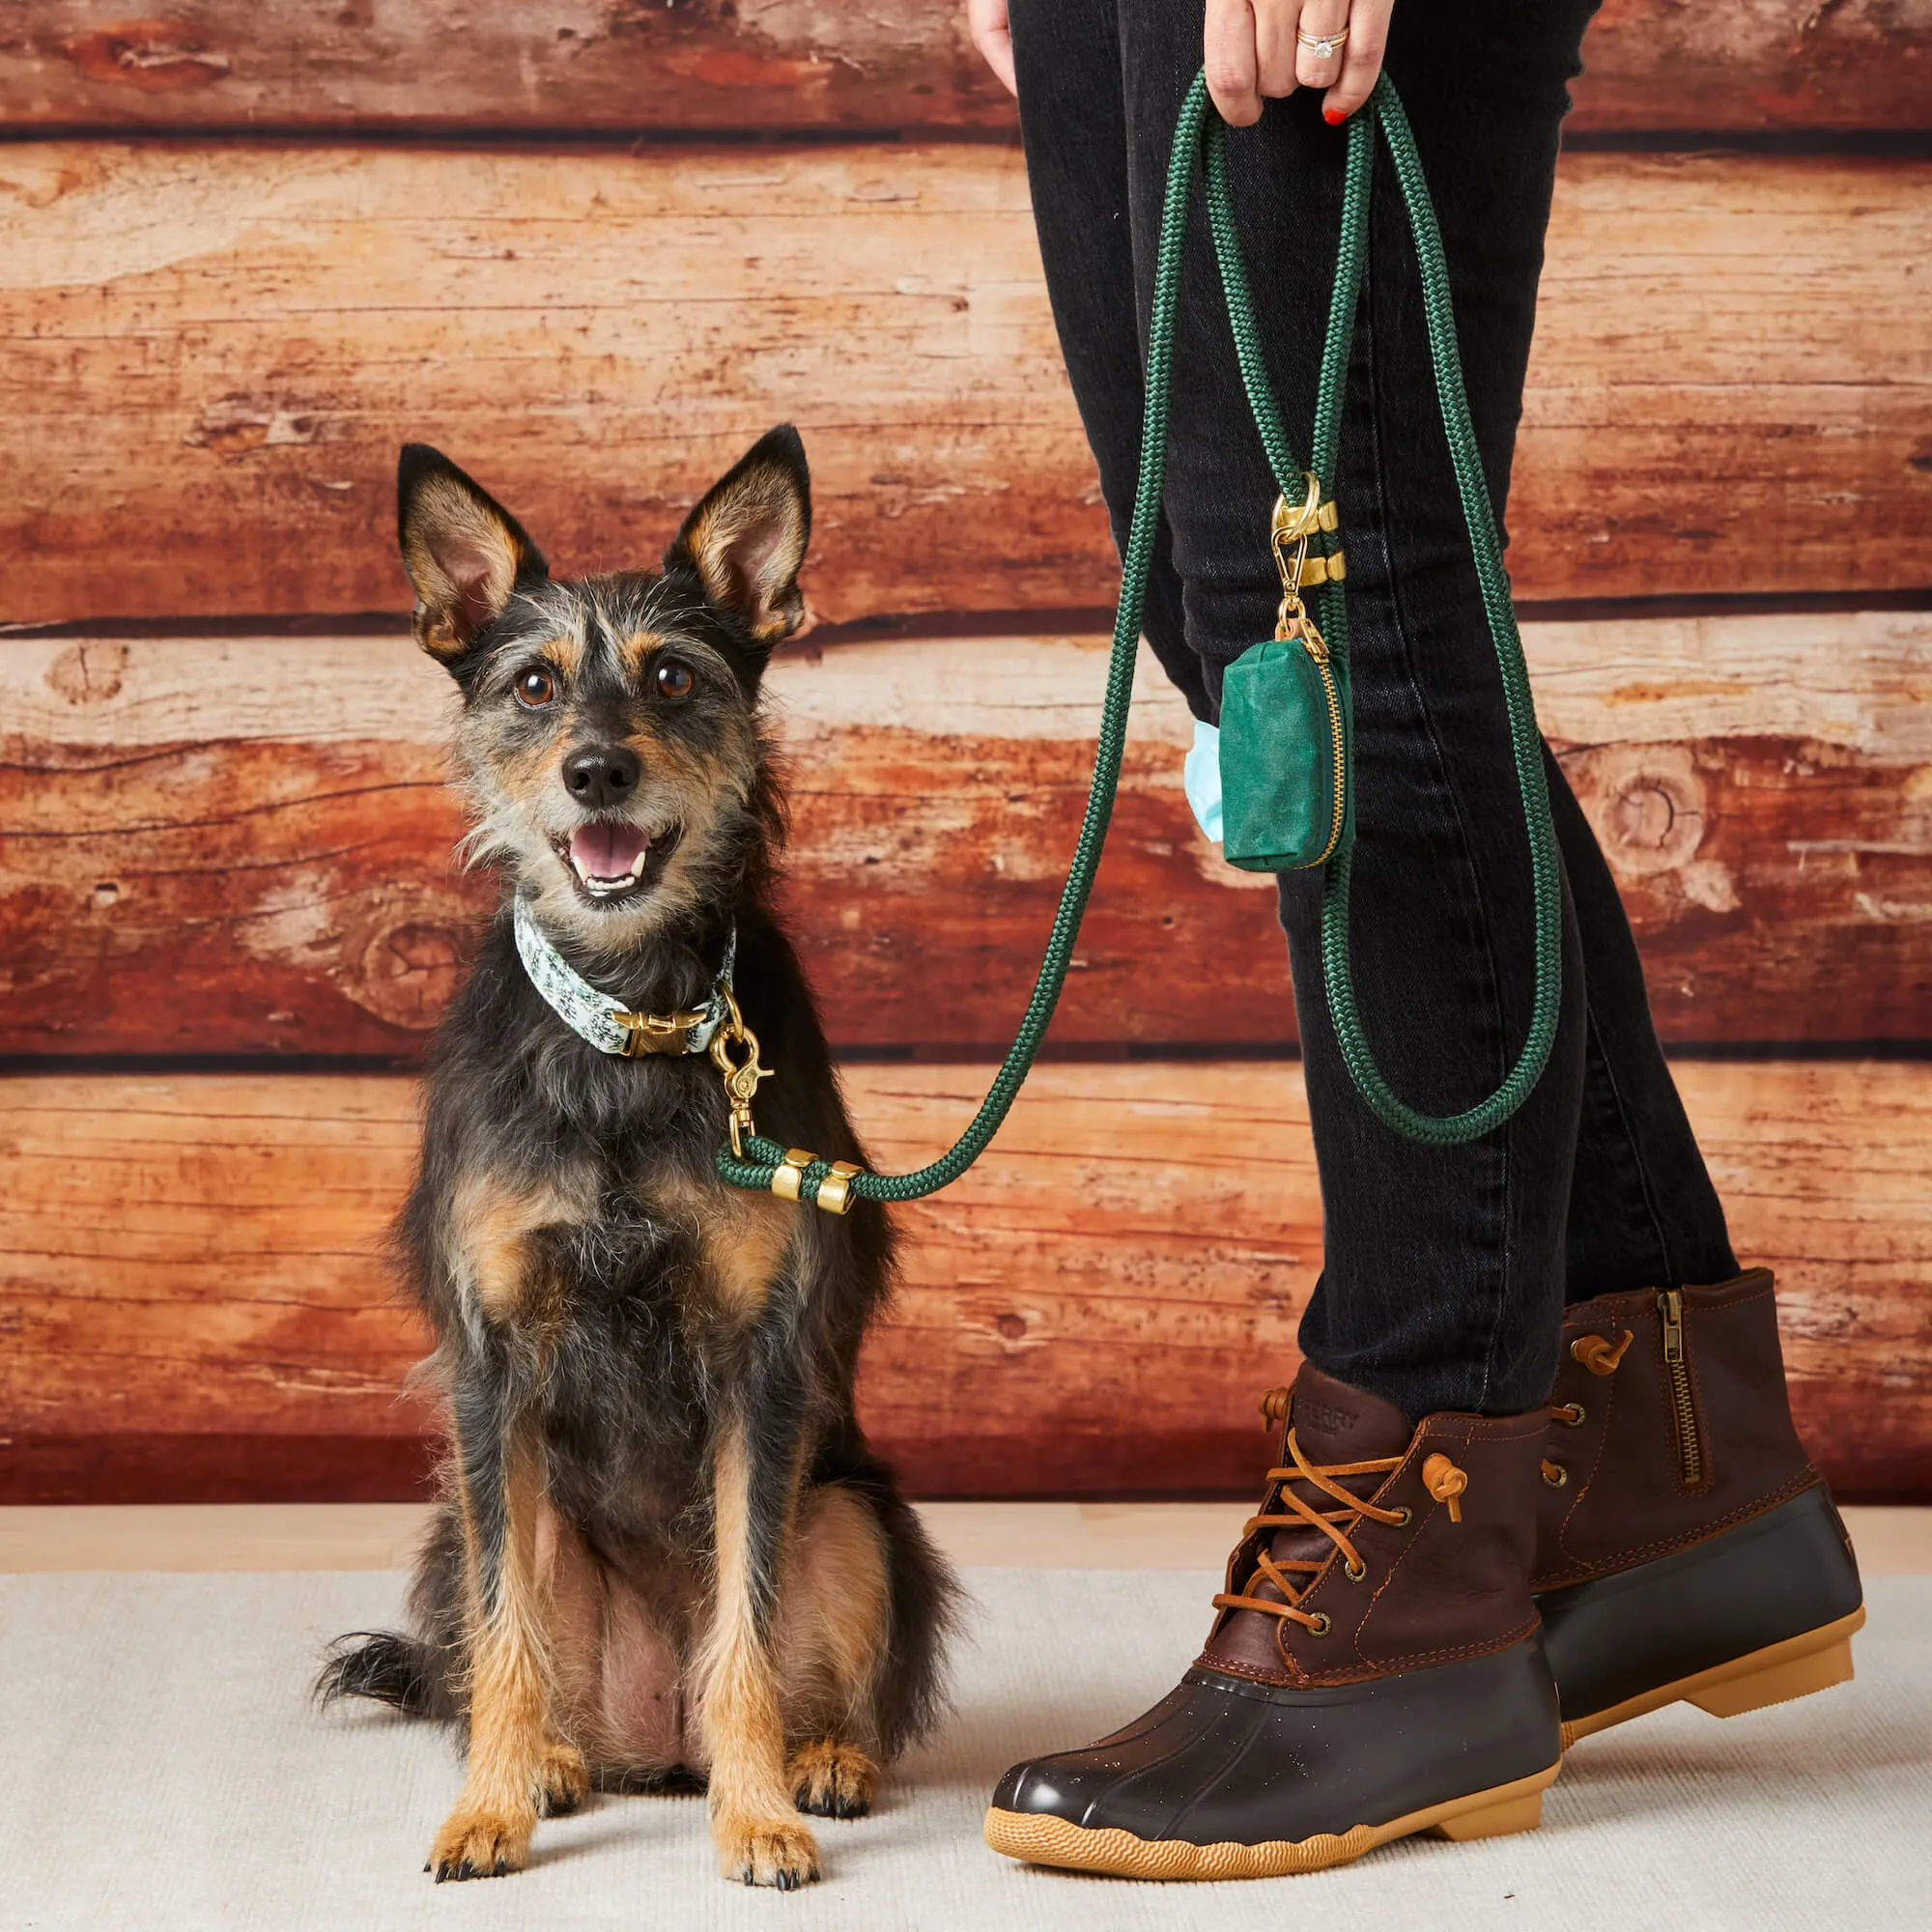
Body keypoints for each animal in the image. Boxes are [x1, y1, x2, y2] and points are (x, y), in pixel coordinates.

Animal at [321, 427, 962, 1886]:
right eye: (534, 683)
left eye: (673, 675)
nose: (598, 772)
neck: (627, 1023)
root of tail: (653, 1744)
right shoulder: (493, 1366)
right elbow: (502, 1635)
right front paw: (487, 1808)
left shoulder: (758, 1371)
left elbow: (747, 1634)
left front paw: (762, 1813)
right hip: (467, 1521)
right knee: (505, 1646)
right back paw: (555, 1762)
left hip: (856, 1514)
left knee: (782, 1663)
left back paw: (817, 1761)